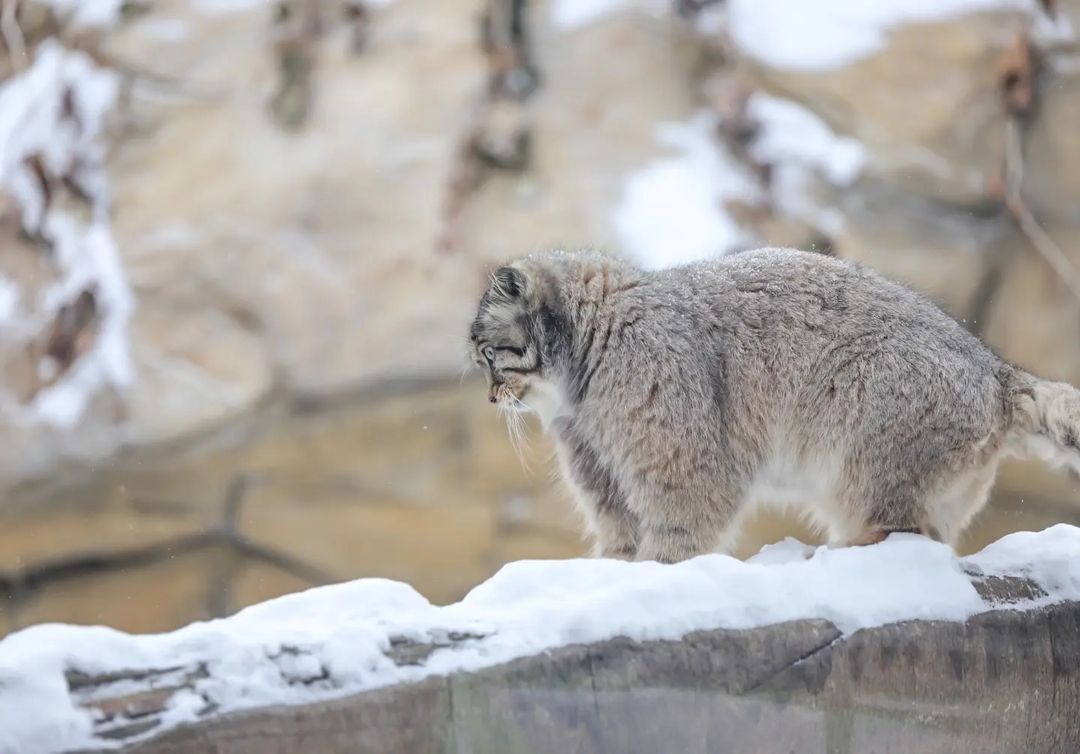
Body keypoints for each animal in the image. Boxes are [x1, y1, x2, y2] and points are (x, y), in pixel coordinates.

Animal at [466, 246, 1080, 557]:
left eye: (489, 356)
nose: (492, 398)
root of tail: (998, 374)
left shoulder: (681, 460)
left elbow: (679, 529)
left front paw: (662, 573)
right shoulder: (600, 470)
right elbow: (619, 533)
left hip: (863, 447)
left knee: (907, 534)